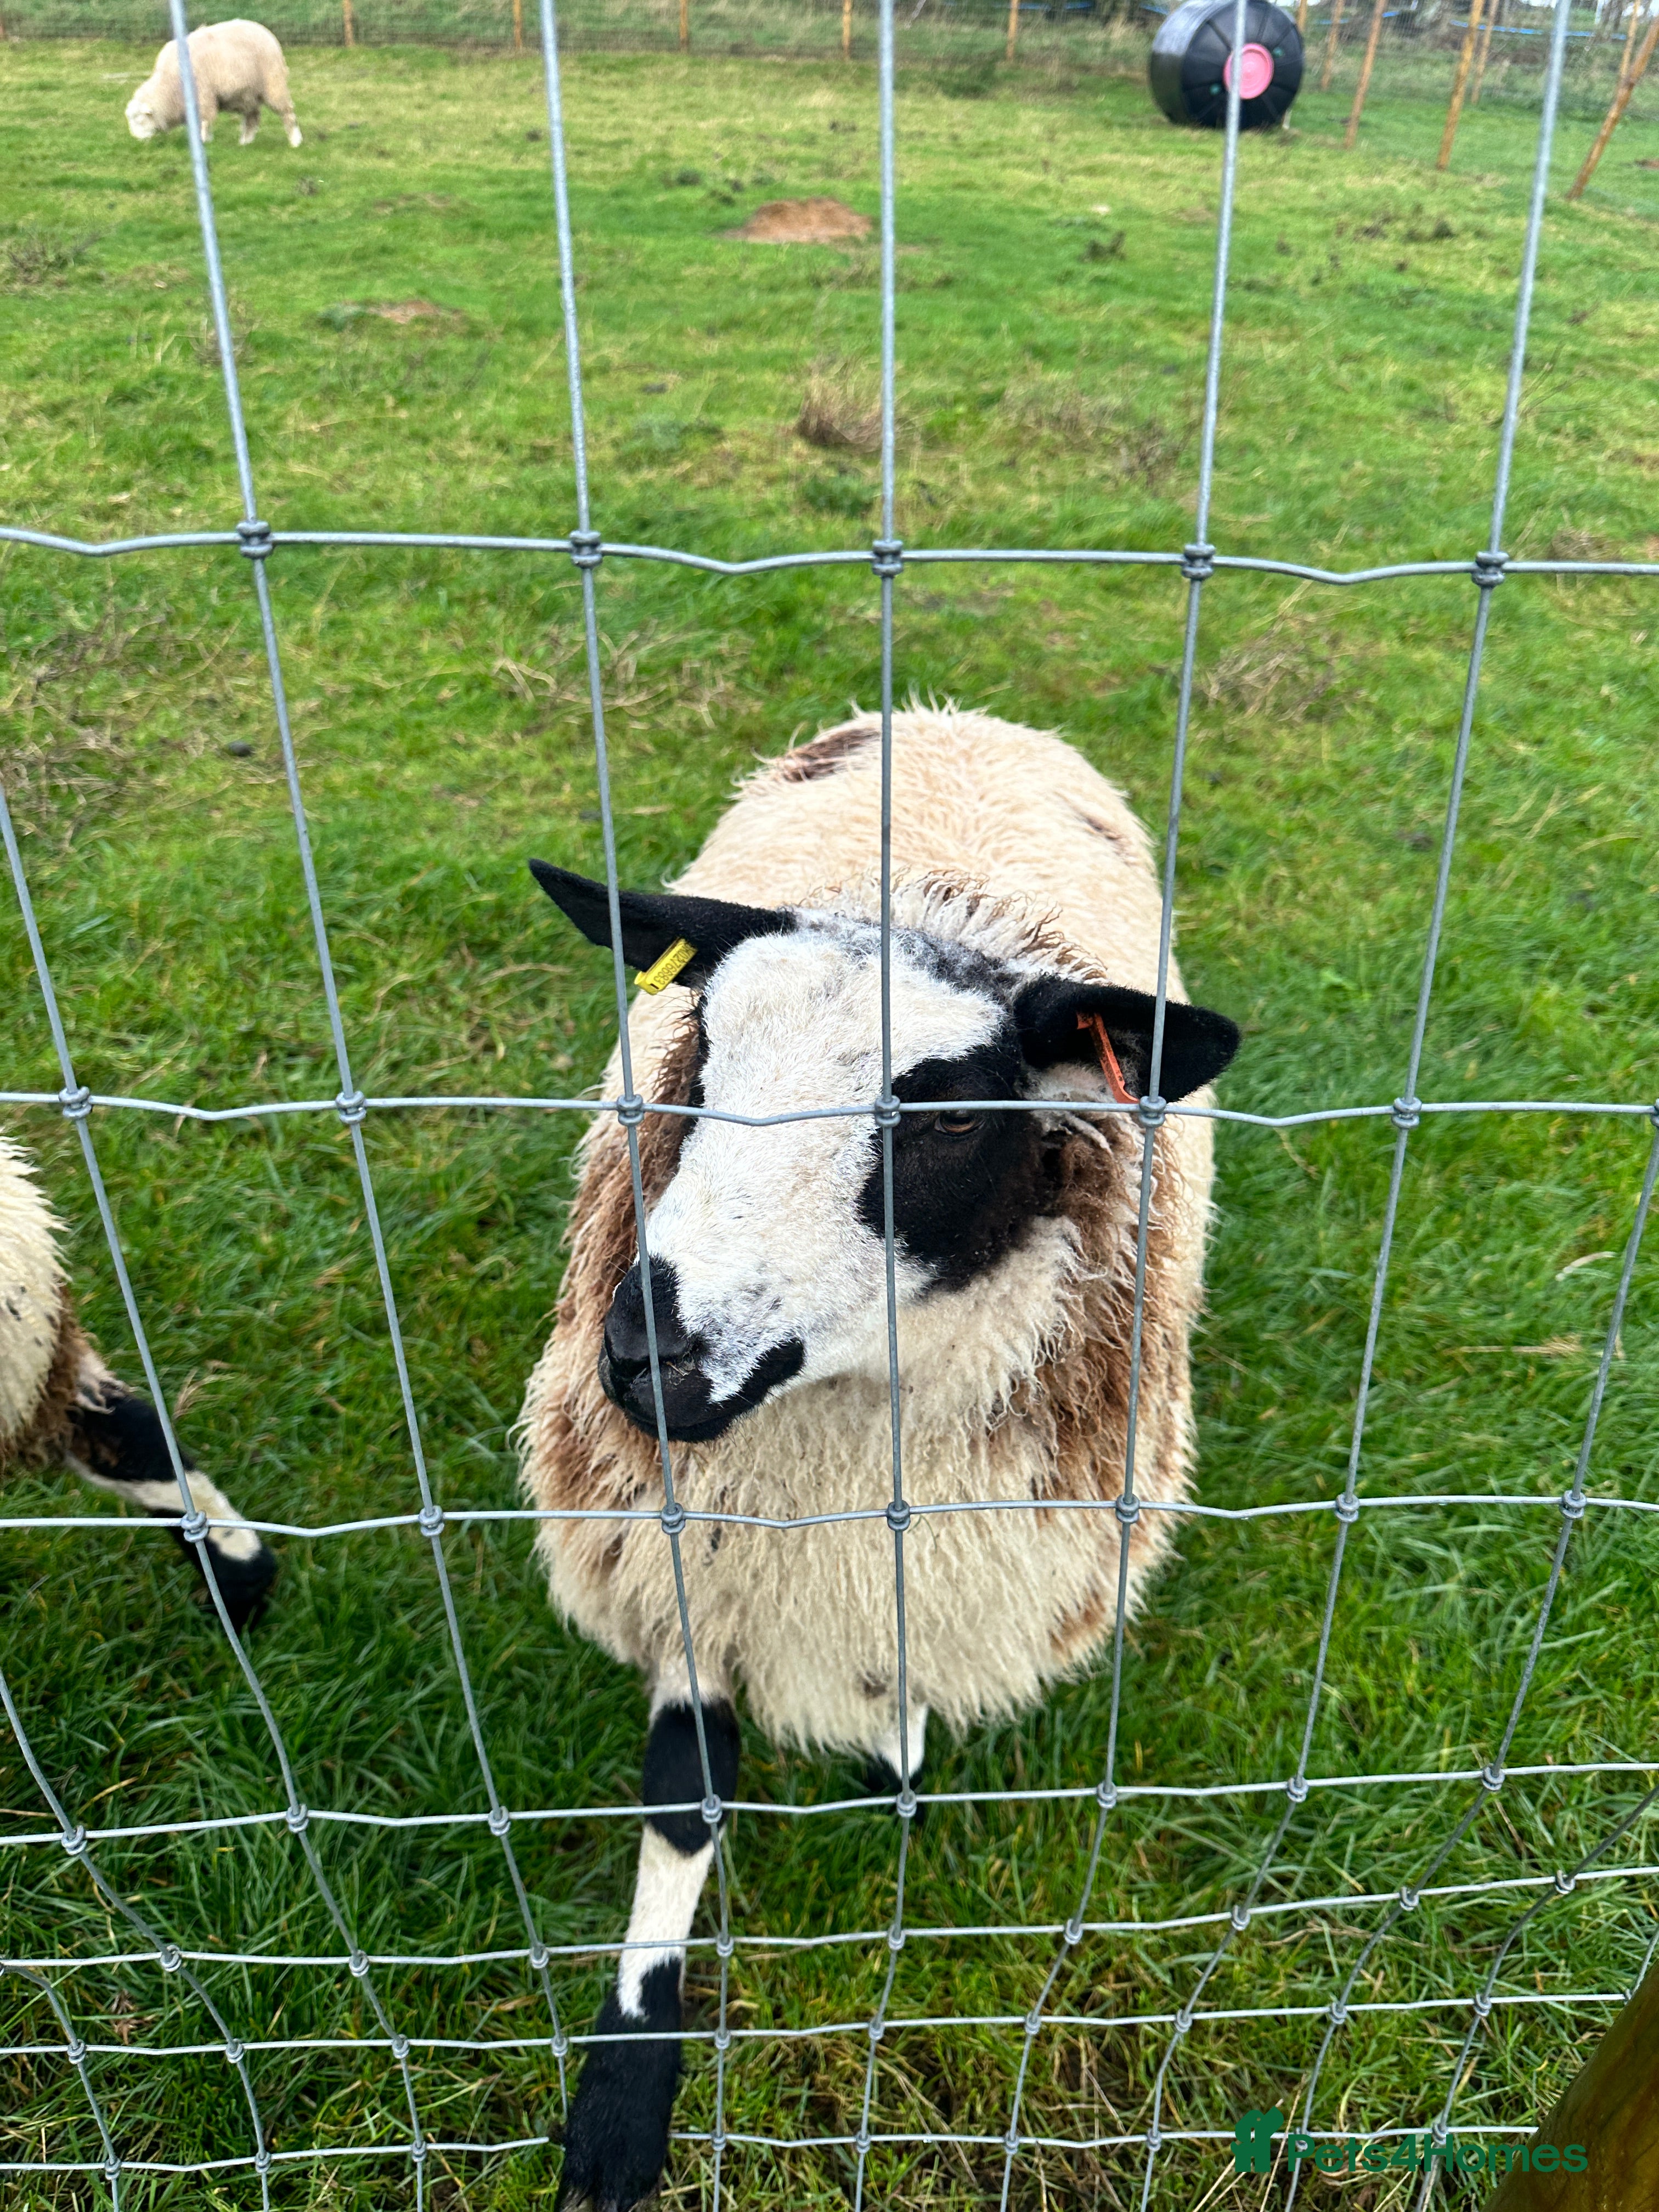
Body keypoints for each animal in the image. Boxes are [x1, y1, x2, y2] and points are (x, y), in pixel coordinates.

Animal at [125, 21, 302, 150]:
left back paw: (295, 141)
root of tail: (264, 31)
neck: (170, 85)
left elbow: (204, 122)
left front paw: (203, 141)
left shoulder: (203, 97)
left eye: (140, 119)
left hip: (273, 84)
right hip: (247, 94)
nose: (138, 141)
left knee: (287, 113)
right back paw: (245, 143)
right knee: (253, 118)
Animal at [517, 705, 1240, 2211]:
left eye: (950, 1118)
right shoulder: (687, 1553)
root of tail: (963, 714)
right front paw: (623, 2096)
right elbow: (683, 1801)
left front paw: (894, 1765)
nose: (647, 1357)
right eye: (705, 1053)